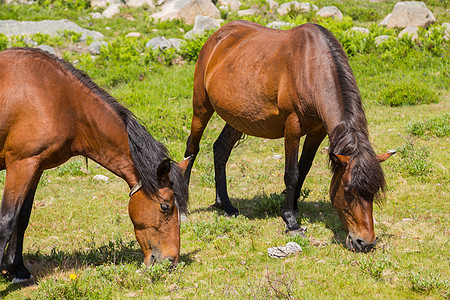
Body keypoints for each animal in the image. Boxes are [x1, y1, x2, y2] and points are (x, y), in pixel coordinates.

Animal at [0, 48, 188, 282]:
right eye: (165, 207)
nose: (171, 261)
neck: (62, 99)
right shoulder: (21, 165)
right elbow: (7, 220)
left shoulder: (35, 166)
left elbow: (22, 218)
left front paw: (17, 269)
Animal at [183, 19, 394, 252]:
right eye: (348, 191)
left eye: (374, 192)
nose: (365, 243)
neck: (311, 68)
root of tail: (216, 36)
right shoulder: (292, 126)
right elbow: (291, 173)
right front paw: (291, 222)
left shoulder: (318, 130)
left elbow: (304, 168)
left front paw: (291, 208)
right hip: (201, 107)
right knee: (191, 149)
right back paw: (182, 208)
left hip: (238, 118)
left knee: (220, 150)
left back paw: (225, 205)